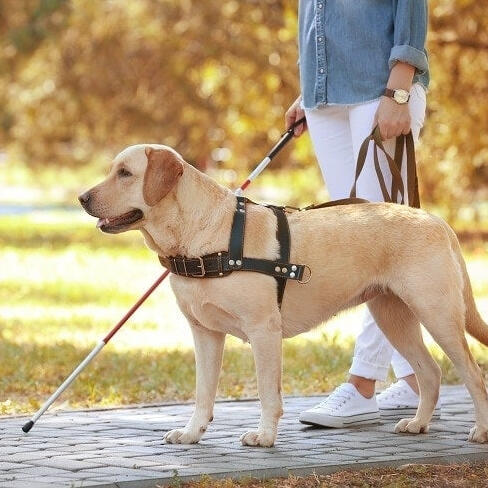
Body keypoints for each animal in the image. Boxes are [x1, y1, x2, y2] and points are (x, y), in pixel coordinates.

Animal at [80, 144, 488, 446]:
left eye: (125, 173)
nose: (82, 197)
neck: (203, 236)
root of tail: (436, 220)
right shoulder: (205, 333)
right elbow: (203, 393)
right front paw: (193, 432)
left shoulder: (263, 330)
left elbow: (267, 392)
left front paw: (263, 436)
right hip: (393, 315)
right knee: (431, 372)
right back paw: (418, 423)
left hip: (437, 314)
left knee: (472, 374)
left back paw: (480, 430)